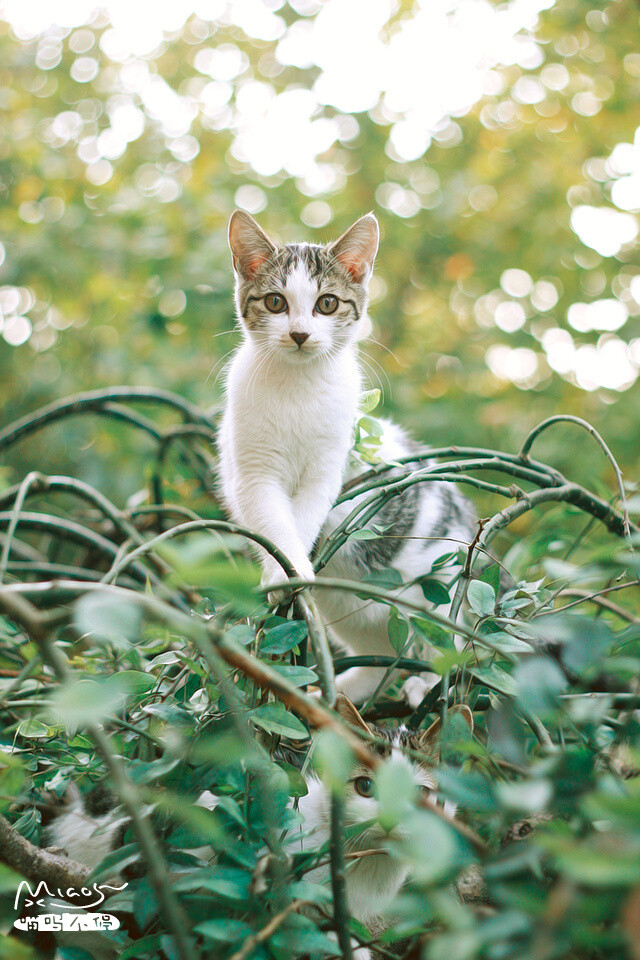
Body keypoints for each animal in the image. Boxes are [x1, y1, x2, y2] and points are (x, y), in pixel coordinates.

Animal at [220, 212, 476, 704]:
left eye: (327, 304)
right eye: (276, 302)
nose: (300, 334)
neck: (297, 387)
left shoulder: (328, 464)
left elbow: (308, 511)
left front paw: (290, 570)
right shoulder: (253, 469)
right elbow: (271, 515)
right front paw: (284, 569)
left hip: (449, 582)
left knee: (450, 646)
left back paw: (426, 682)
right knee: (382, 654)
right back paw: (342, 692)